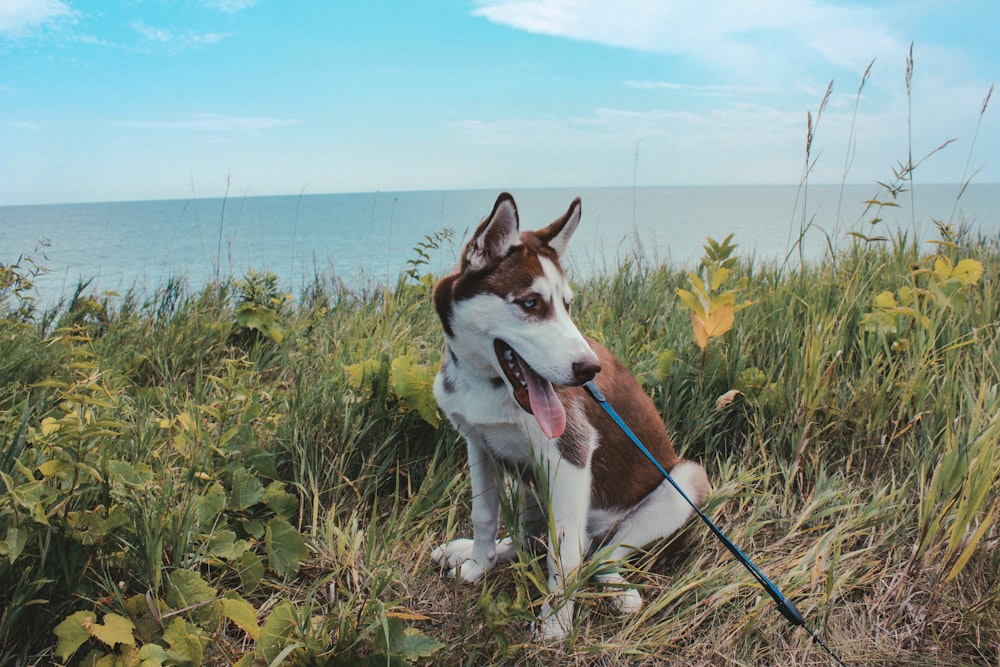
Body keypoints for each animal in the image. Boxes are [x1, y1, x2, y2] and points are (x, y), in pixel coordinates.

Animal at [432, 190, 712, 640]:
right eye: (531, 303)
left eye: (567, 305)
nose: (588, 370)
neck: (487, 385)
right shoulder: (479, 445)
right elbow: (485, 516)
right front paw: (477, 564)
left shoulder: (572, 456)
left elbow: (563, 558)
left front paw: (555, 624)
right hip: (530, 486)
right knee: (534, 540)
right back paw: (484, 552)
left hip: (684, 481)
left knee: (598, 556)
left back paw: (617, 589)